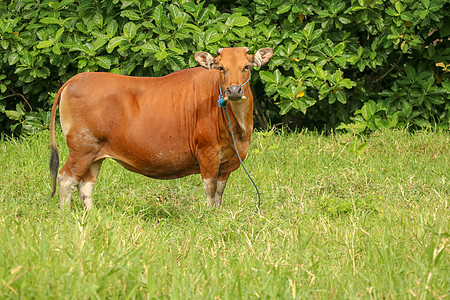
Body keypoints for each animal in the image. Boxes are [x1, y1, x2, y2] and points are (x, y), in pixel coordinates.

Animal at [49, 47, 274, 211]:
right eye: (221, 68)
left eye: (246, 66)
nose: (234, 91)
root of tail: (77, 78)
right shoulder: (208, 155)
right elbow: (210, 191)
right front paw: (210, 215)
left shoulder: (228, 161)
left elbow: (219, 192)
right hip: (81, 148)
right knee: (66, 178)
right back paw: (65, 213)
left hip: (95, 153)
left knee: (85, 184)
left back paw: (90, 214)